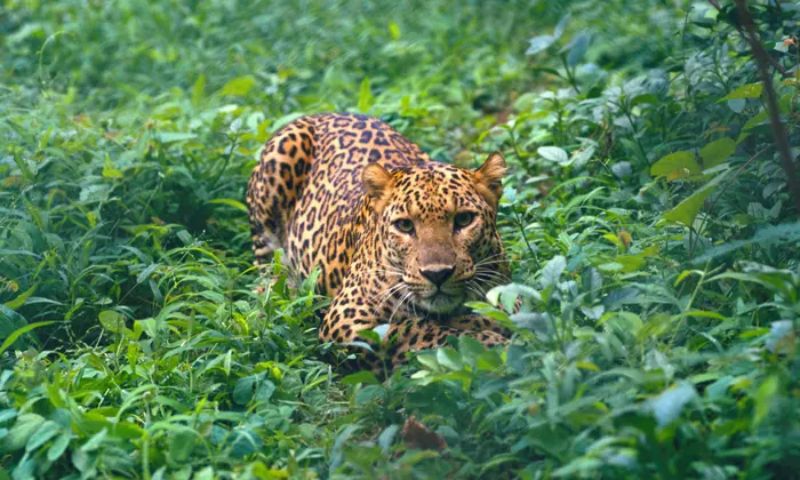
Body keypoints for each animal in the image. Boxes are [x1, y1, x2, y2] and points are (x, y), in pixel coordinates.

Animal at [247, 114, 512, 370]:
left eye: (464, 219)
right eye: (405, 225)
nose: (437, 274)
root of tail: (319, 115)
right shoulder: (345, 318)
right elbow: (415, 331)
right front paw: (489, 343)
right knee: (267, 277)